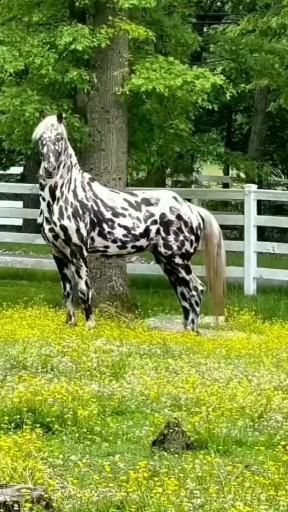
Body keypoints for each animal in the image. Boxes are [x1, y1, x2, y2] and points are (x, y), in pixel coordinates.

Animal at [32, 114, 226, 334]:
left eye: (60, 138)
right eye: (41, 140)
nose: (49, 170)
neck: (63, 196)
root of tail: (191, 208)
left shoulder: (77, 251)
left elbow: (83, 290)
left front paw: (90, 326)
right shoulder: (58, 252)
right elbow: (67, 291)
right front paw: (70, 324)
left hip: (178, 260)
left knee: (195, 290)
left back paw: (192, 333)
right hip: (166, 261)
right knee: (183, 293)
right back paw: (186, 332)